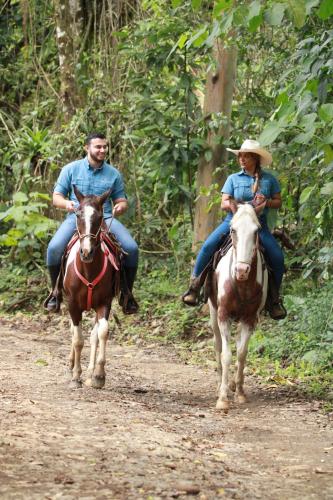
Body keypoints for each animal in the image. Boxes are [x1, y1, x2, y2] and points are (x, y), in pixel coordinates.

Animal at [63, 186, 120, 388]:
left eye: (100, 216)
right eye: (78, 214)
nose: (86, 252)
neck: (88, 270)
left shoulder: (104, 303)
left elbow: (102, 333)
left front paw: (98, 375)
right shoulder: (72, 304)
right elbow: (78, 339)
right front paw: (75, 376)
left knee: (94, 335)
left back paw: (90, 371)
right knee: (73, 332)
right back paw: (72, 364)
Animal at [208, 203, 268, 414]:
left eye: (257, 231)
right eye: (233, 229)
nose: (241, 270)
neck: (242, 284)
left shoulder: (250, 319)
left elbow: (242, 353)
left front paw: (240, 393)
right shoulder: (223, 315)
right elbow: (226, 355)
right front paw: (223, 399)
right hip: (213, 314)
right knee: (218, 345)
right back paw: (221, 384)